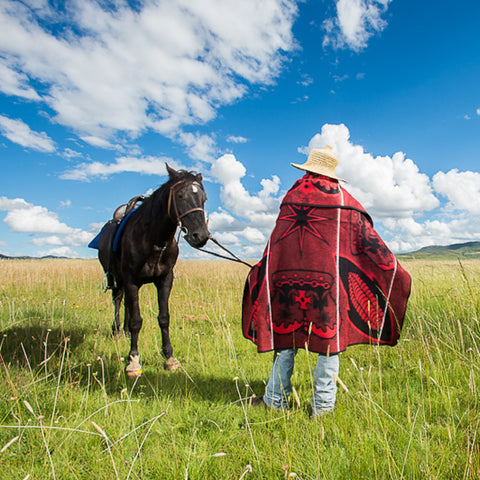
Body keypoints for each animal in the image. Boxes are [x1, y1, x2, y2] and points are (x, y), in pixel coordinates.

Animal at [96, 165, 209, 378]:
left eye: (204, 198)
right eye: (180, 196)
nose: (201, 236)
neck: (153, 238)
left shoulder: (165, 279)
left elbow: (164, 318)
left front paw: (169, 357)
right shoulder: (131, 280)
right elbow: (136, 321)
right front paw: (133, 360)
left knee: (127, 305)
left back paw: (124, 331)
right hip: (116, 278)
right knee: (118, 300)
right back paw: (117, 330)